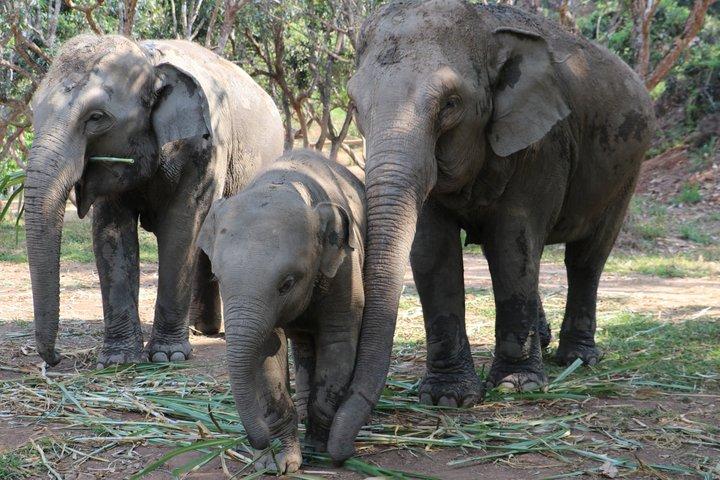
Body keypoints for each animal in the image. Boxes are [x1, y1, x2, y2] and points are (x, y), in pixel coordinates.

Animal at [24, 34, 284, 367]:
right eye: (33, 113)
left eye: (96, 118)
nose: (55, 358)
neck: (150, 63)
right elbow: (111, 233)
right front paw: (118, 360)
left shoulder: (205, 149)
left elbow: (181, 228)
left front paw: (166, 355)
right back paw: (199, 329)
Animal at [196, 150, 366, 473]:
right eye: (217, 278)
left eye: (287, 284)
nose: (258, 440)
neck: (286, 181)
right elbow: (266, 351)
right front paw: (278, 463)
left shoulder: (345, 270)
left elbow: (338, 341)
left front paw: (318, 448)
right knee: (303, 343)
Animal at [327, 0, 654, 461]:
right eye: (354, 105)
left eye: (450, 103)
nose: (338, 450)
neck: (485, 29)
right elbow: (432, 250)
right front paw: (447, 398)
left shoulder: (543, 145)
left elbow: (512, 246)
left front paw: (516, 387)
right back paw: (545, 343)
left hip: (628, 169)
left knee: (586, 258)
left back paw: (577, 359)